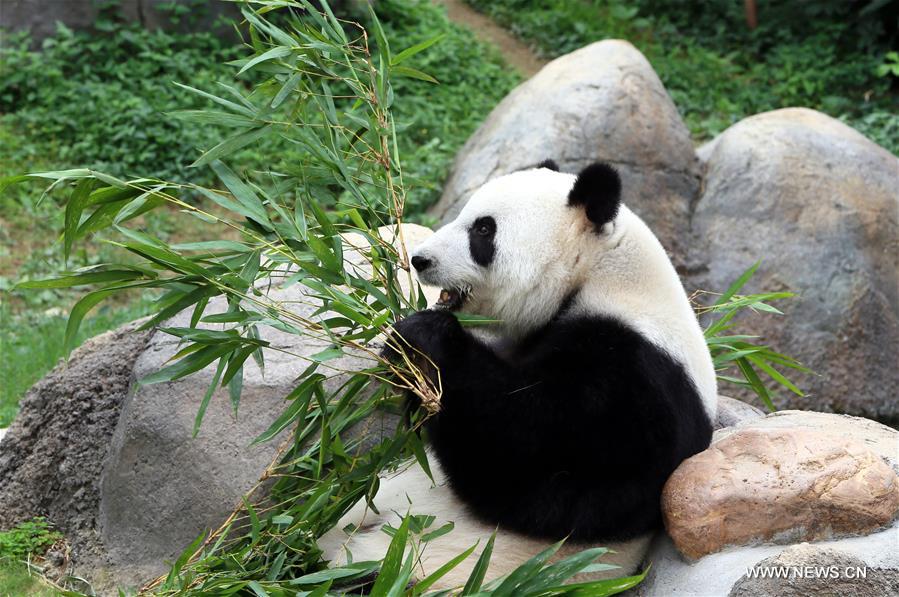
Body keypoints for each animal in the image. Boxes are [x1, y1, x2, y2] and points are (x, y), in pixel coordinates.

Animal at [318, 158, 716, 588]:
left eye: (483, 230)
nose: (420, 260)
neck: (599, 276)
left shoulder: (638, 386)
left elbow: (540, 477)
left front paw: (423, 339)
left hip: (426, 569)